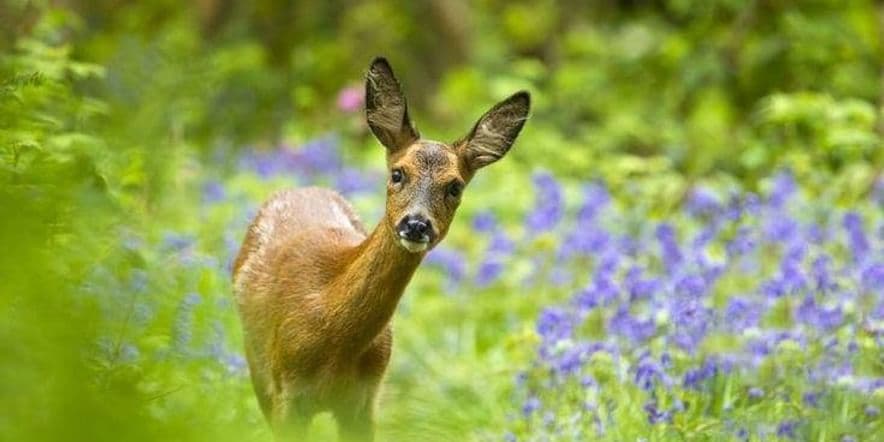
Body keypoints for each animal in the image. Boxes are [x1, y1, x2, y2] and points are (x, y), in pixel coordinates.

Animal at [231, 57, 528, 440]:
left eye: (455, 187)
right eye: (398, 173)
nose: (416, 224)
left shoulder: (364, 399)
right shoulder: (288, 392)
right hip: (258, 367)